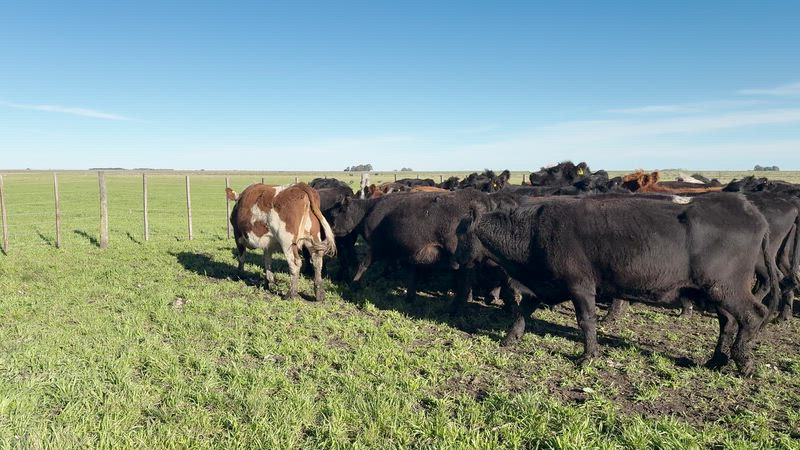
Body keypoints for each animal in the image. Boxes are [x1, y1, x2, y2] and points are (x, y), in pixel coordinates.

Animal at [452, 193, 780, 376]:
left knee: (753, 315)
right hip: (715, 293)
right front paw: (510, 339)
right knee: (728, 321)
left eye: (462, 233)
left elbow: (586, 321)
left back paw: (743, 362)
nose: (454, 262)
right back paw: (716, 360)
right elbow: (523, 312)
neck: (533, 232)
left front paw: (588, 356)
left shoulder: (580, 286)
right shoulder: (544, 286)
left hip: (726, 288)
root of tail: (752, 211)